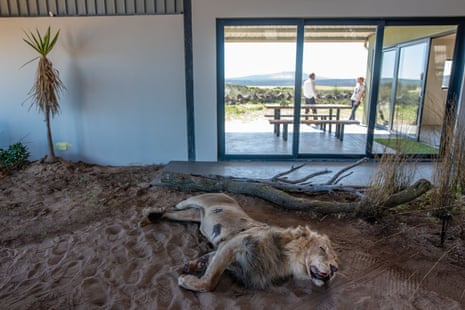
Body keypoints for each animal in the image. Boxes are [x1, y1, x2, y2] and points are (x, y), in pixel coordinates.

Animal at [139, 193, 338, 292]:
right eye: (322, 249)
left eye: (336, 260)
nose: (335, 269)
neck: (284, 260)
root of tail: (223, 193)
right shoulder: (234, 244)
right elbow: (210, 281)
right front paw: (186, 279)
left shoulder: (226, 251)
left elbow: (210, 259)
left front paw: (193, 265)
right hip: (190, 200)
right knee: (173, 204)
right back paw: (147, 212)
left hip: (193, 215)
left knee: (169, 213)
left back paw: (151, 217)